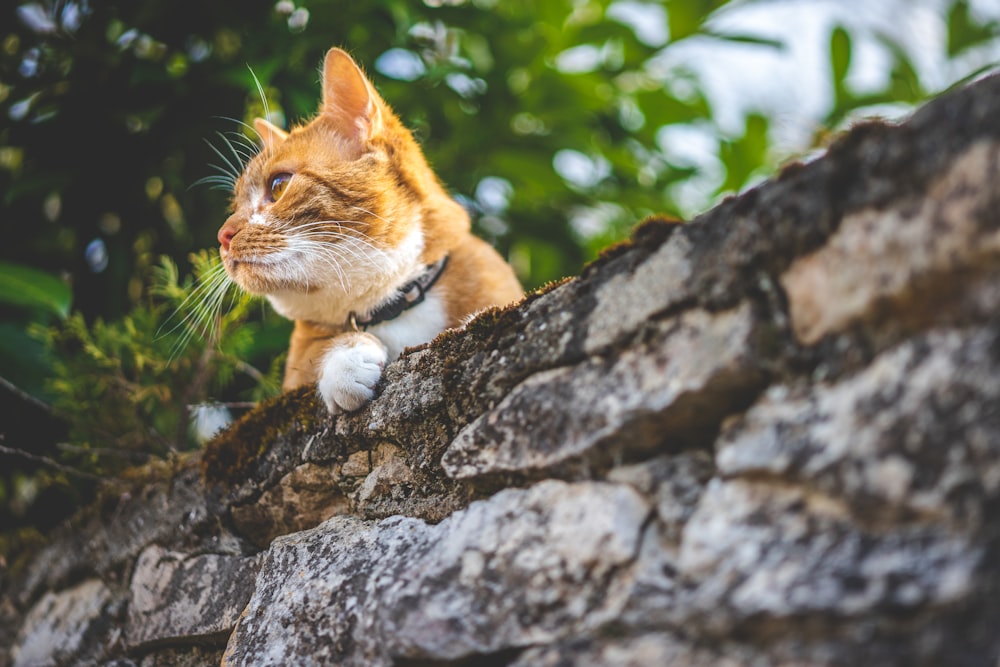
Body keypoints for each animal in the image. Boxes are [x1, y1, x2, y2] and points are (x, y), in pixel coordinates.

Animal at [218, 47, 524, 412]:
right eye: (234, 205)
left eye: (278, 186)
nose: (223, 236)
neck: (394, 303)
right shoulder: (294, 374)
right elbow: (315, 350)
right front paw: (345, 361)